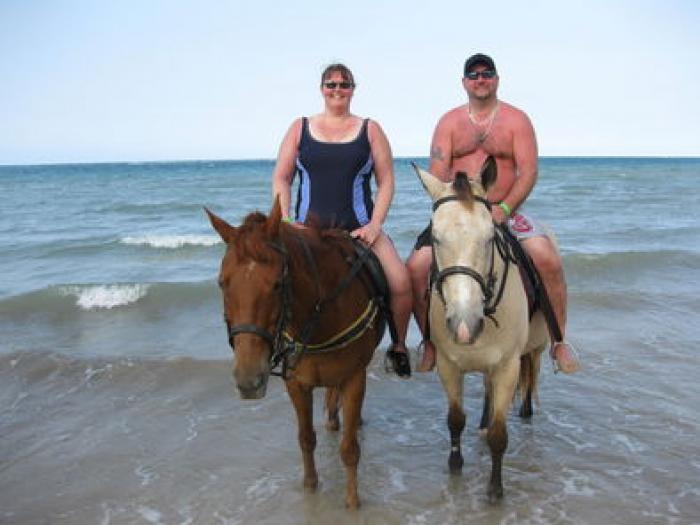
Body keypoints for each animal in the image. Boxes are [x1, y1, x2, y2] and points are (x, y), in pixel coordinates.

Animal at [205, 198, 386, 508]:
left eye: (277, 284)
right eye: (221, 282)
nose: (249, 380)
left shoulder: (354, 379)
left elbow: (349, 449)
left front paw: (352, 501)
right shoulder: (296, 384)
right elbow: (305, 438)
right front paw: (310, 486)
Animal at [412, 159, 548, 500]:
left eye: (490, 238)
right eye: (435, 238)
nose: (464, 324)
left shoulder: (507, 366)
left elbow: (500, 435)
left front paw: (495, 490)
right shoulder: (448, 364)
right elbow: (455, 419)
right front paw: (455, 464)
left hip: (535, 348)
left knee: (531, 376)